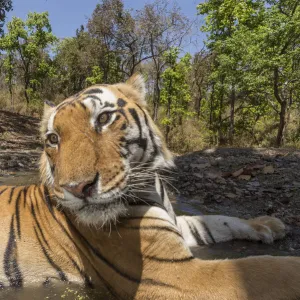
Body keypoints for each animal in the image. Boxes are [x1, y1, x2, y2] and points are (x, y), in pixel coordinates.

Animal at [0, 73, 300, 300]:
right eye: (53, 139)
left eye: (103, 119)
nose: (76, 188)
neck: (155, 190)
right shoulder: (173, 275)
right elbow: (265, 269)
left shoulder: (177, 225)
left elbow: (218, 221)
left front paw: (268, 225)